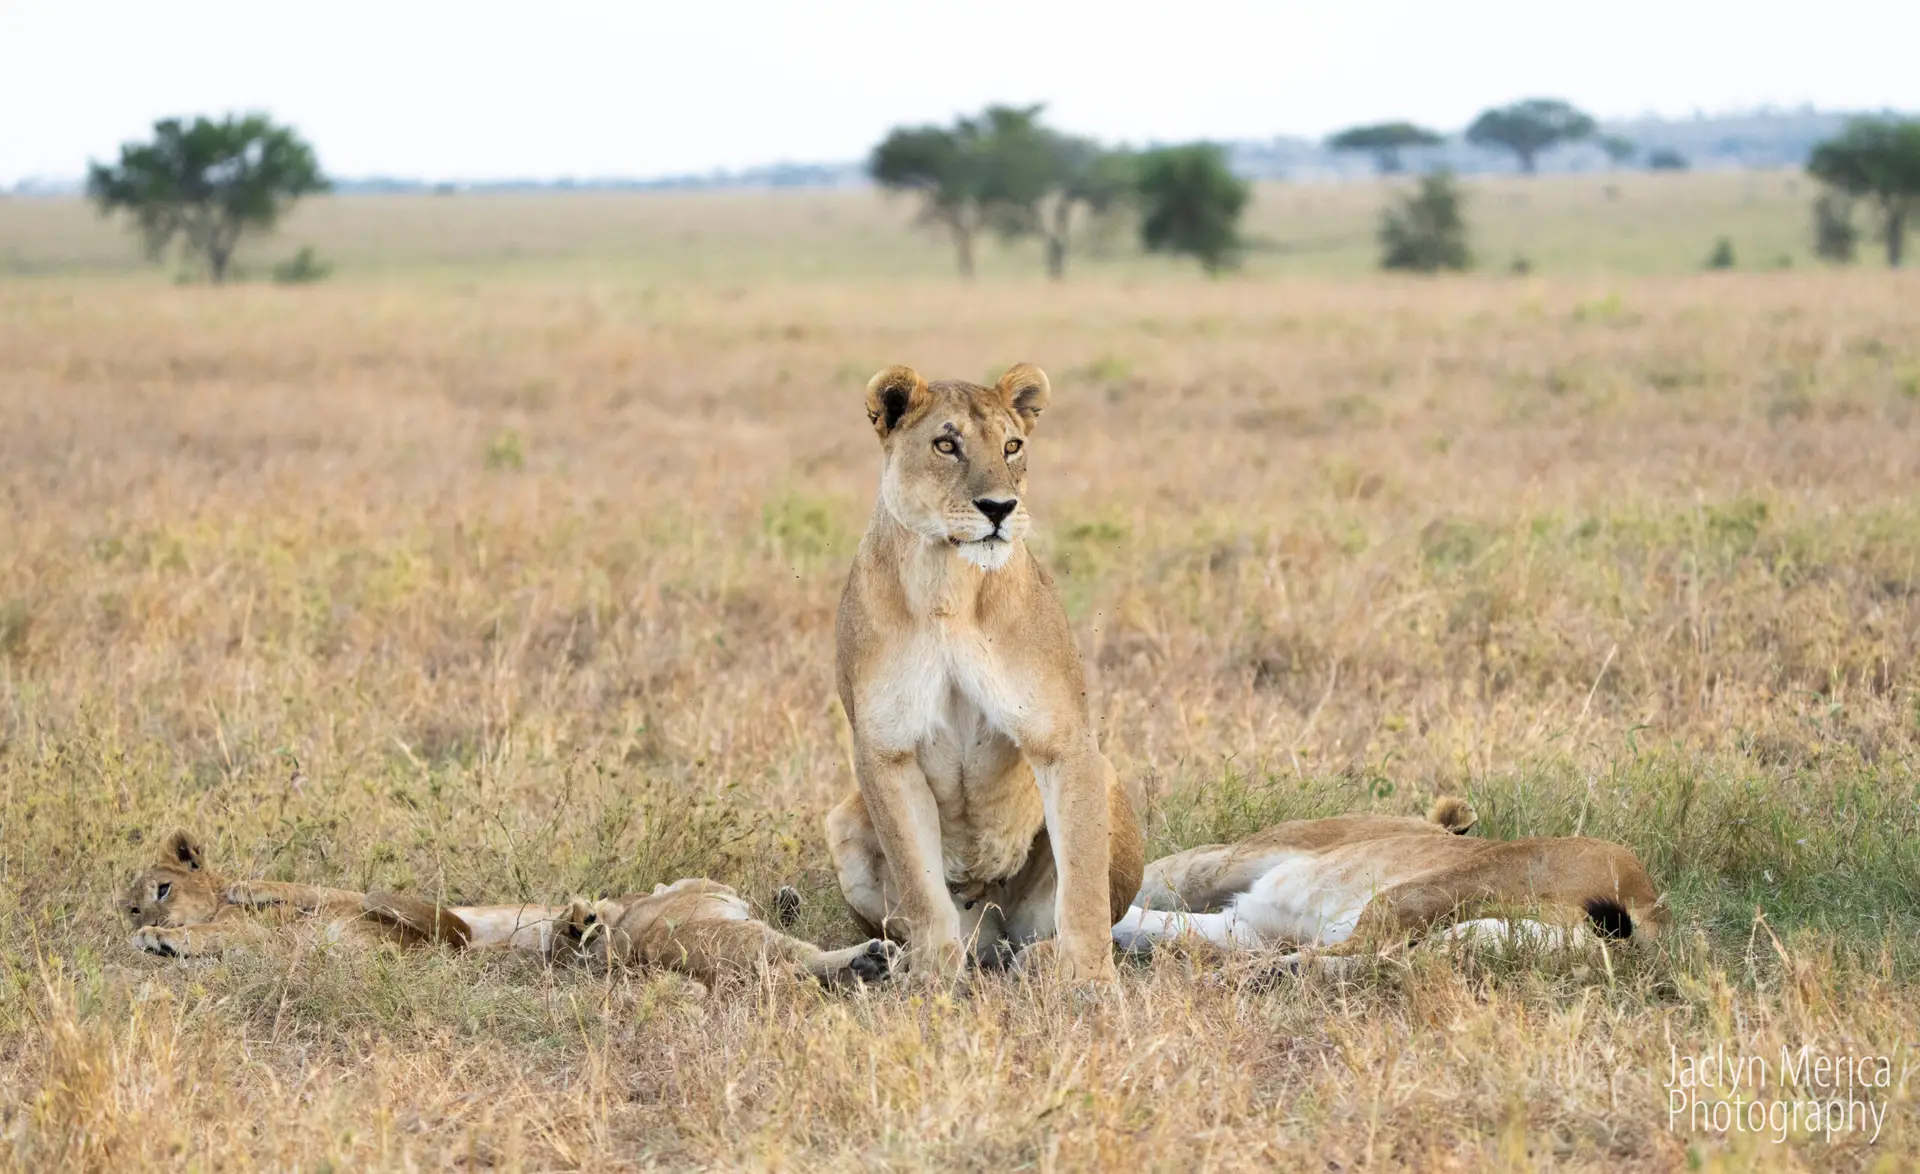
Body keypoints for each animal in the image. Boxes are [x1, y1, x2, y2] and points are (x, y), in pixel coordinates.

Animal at [824, 363, 1145, 986]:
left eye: (1012, 446)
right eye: (946, 445)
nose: (1000, 508)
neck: (947, 582)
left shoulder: (1062, 736)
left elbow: (1083, 883)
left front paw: (1090, 979)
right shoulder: (885, 748)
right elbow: (920, 883)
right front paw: (932, 977)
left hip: (1103, 777)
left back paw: (1033, 959)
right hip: (843, 817)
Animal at [1113, 799, 1668, 972]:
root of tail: (1645, 899)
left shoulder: (1225, 868)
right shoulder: (1247, 923)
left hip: (1430, 888)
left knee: (1342, 955)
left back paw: (1234, 977)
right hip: (1460, 940)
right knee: (1372, 960)